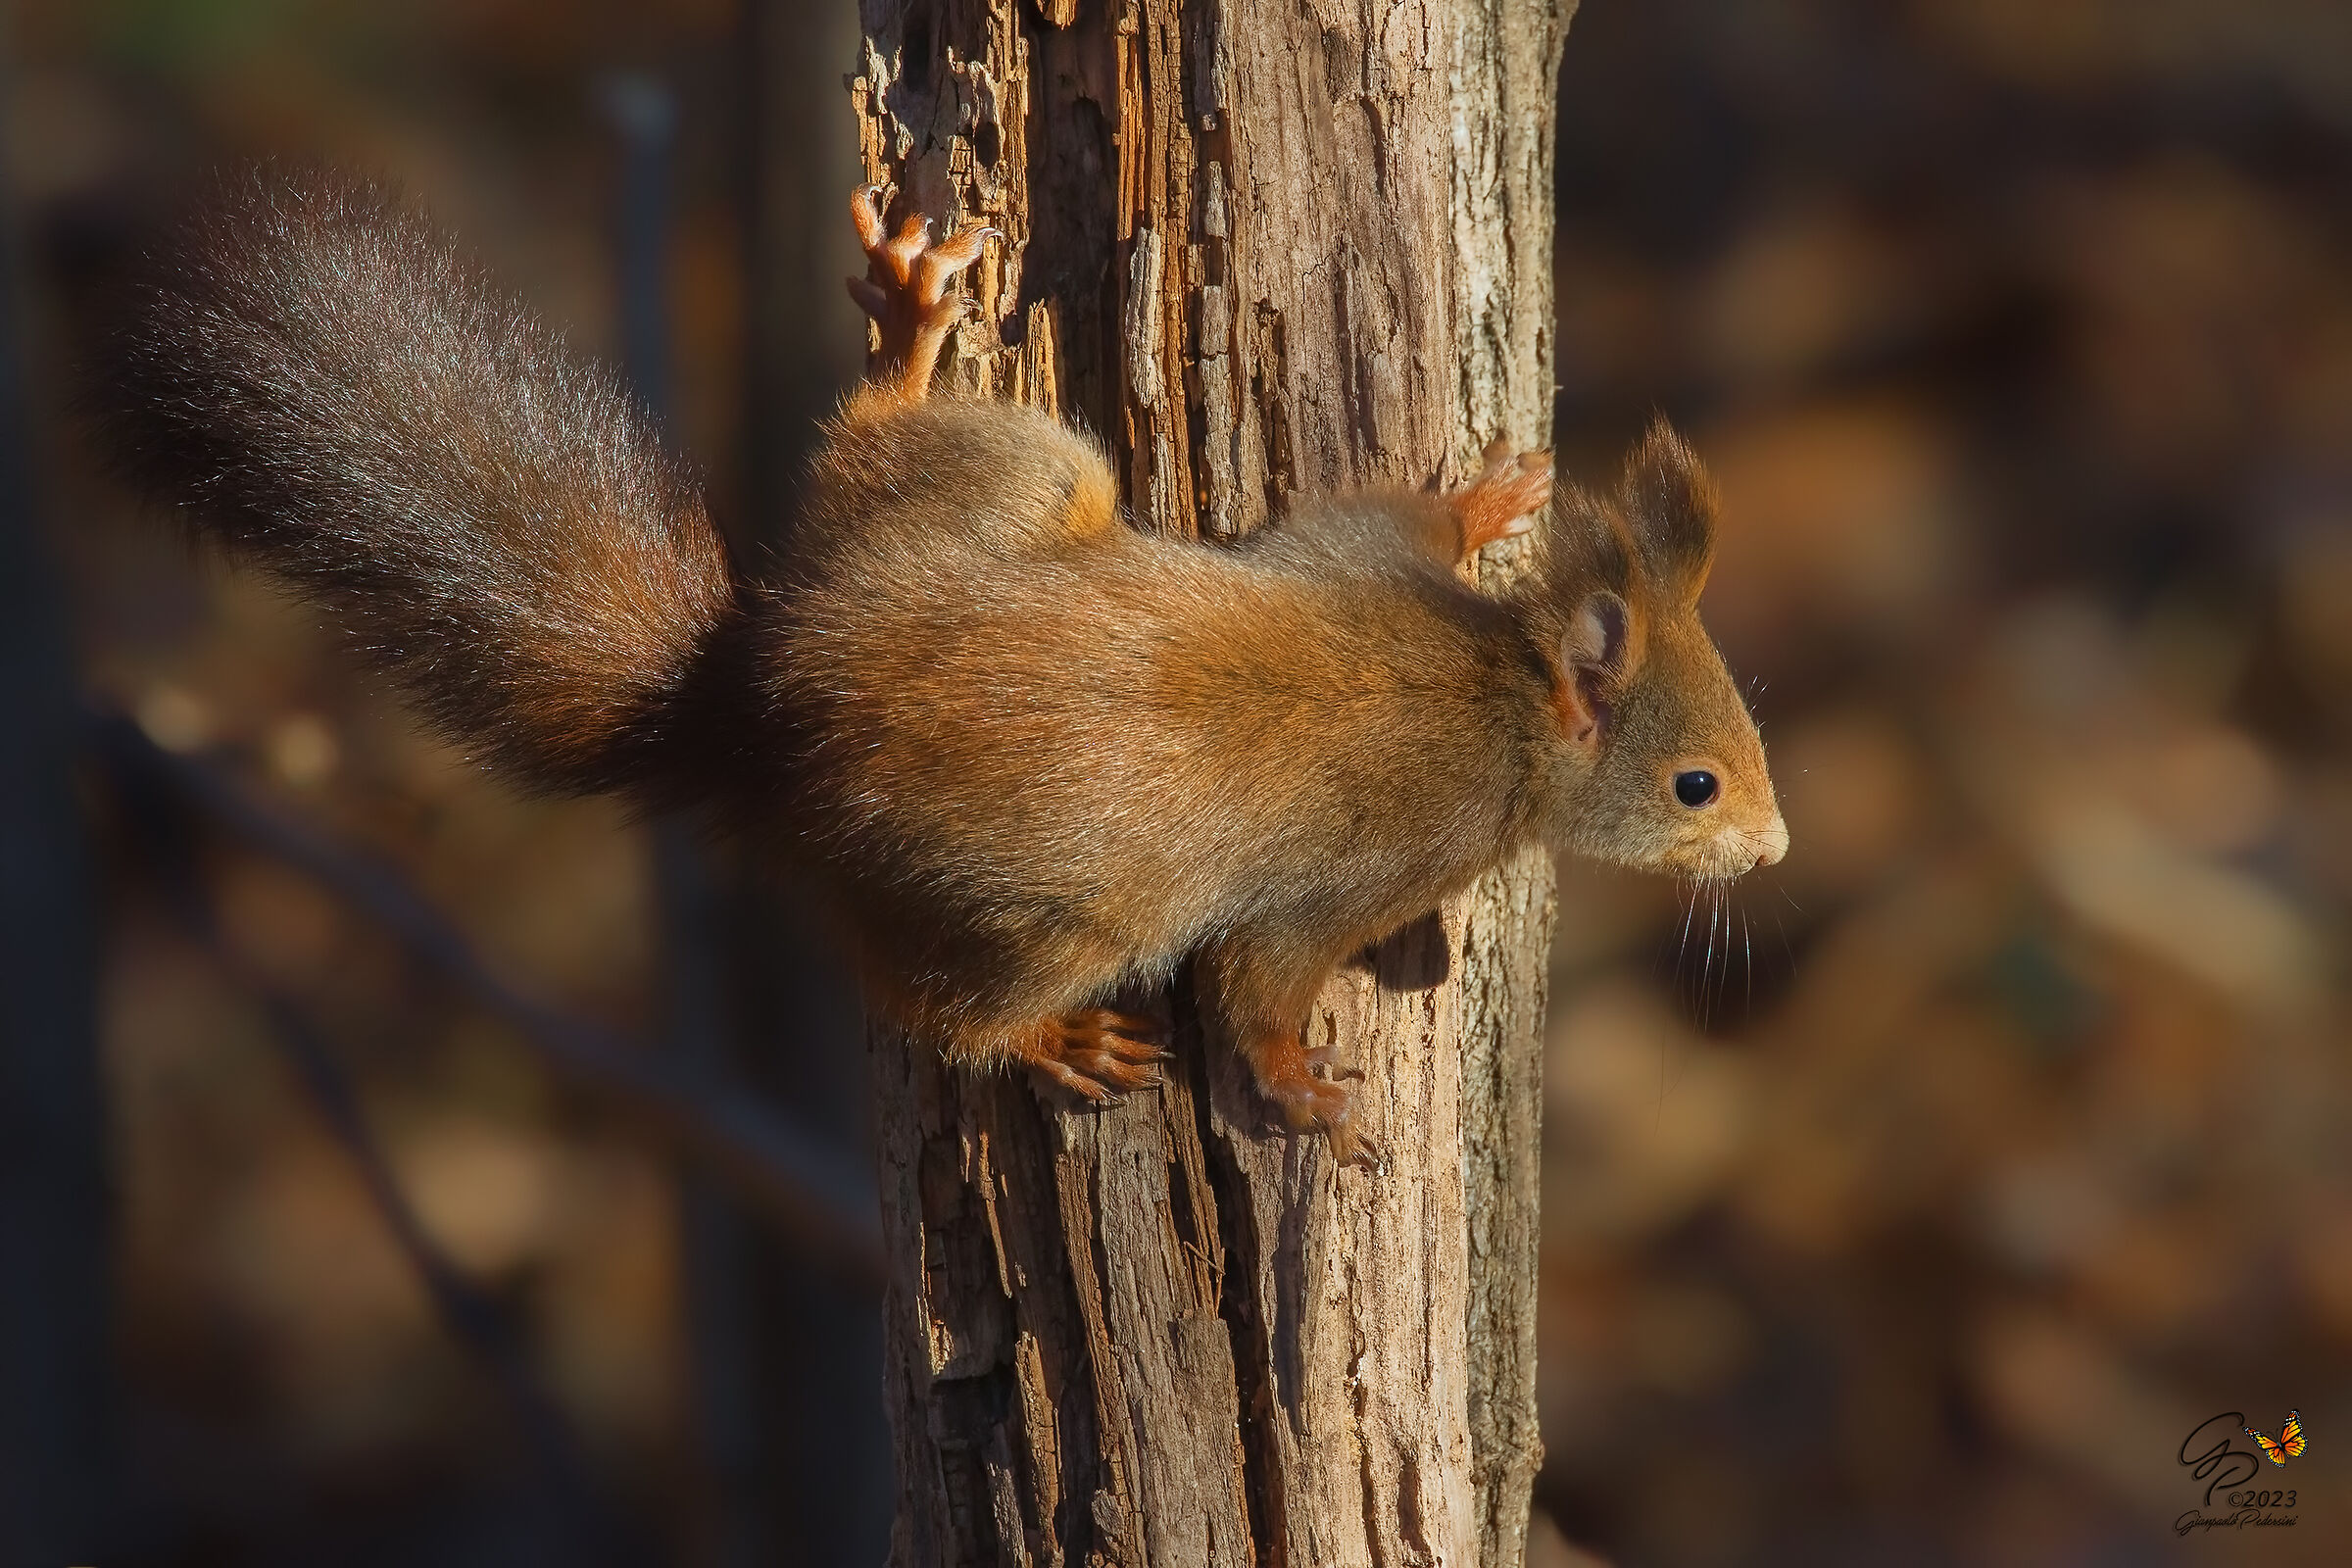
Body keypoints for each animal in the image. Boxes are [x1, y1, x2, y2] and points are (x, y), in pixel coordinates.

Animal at [103, 169, 1787, 1167]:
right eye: (1698, 783)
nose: (1773, 849)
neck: (1508, 694)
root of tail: (768, 712)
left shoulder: (1356, 554)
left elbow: (1387, 514)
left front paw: (1498, 501)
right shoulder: (1365, 864)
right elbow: (1259, 984)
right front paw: (1305, 1091)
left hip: (1021, 481)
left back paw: (911, 332)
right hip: (1053, 913)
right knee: (935, 1010)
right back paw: (1053, 1041)